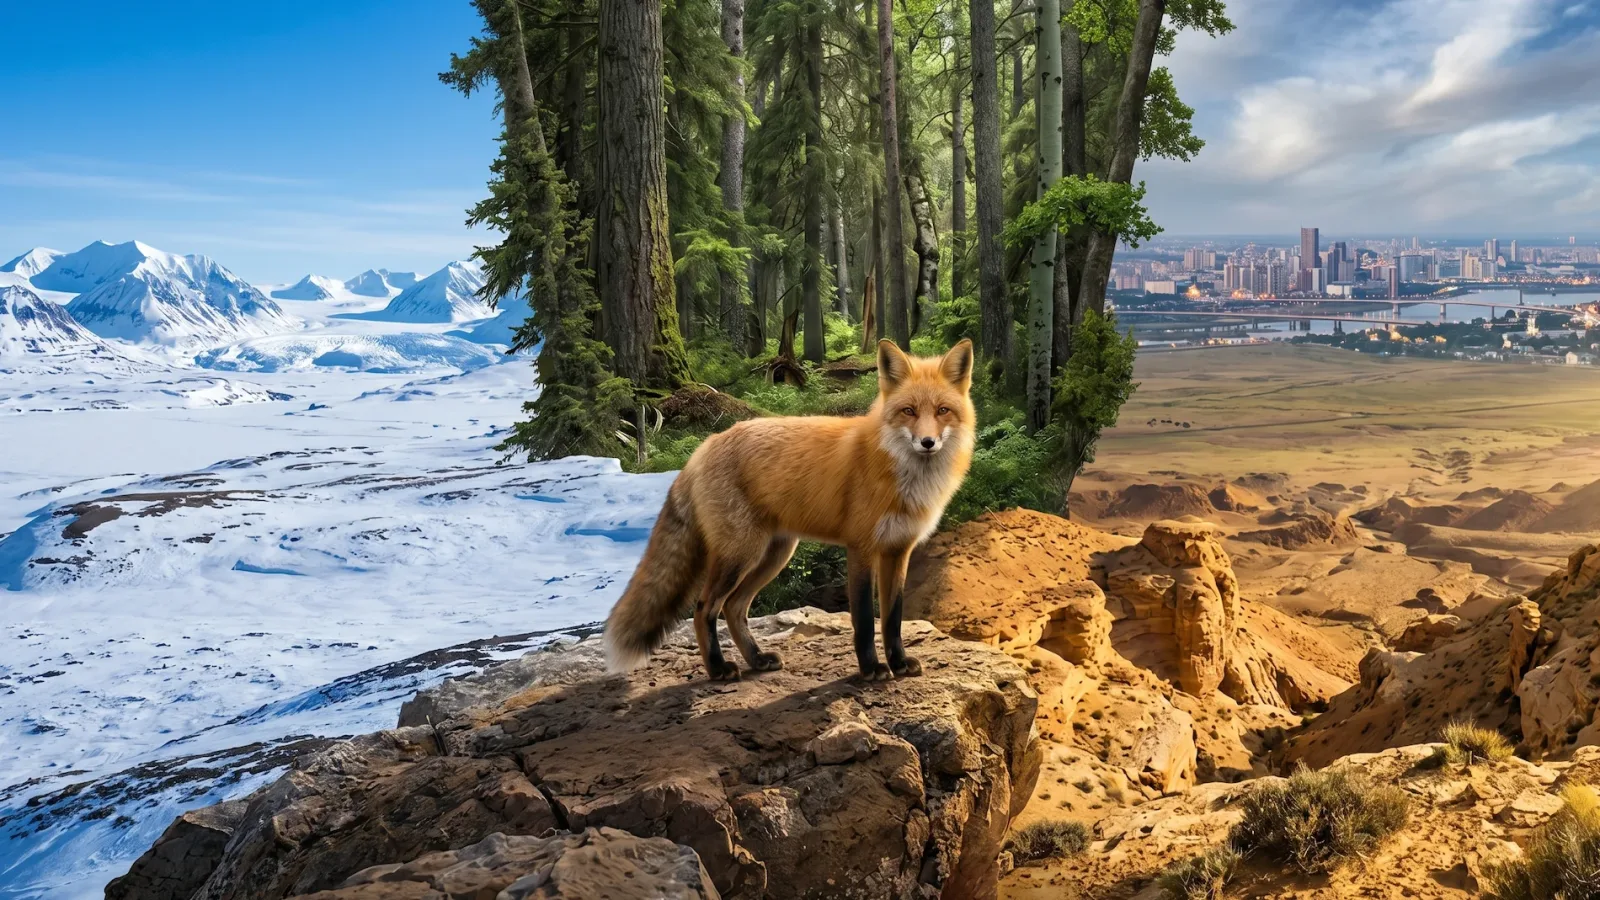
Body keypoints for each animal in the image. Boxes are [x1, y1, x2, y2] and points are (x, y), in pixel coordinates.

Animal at [604, 338, 977, 682]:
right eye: (909, 411)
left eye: (942, 410)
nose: (927, 443)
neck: (904, 478)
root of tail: (704, 446)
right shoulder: (861, 548)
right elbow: (863, 621)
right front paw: (871, 669)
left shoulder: (898, 550)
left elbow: (893, 620)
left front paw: (898, 663)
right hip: (740, 553)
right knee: (704, 608)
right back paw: (718, 669)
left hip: (774, 555)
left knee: (734, 608)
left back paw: (756, 659)